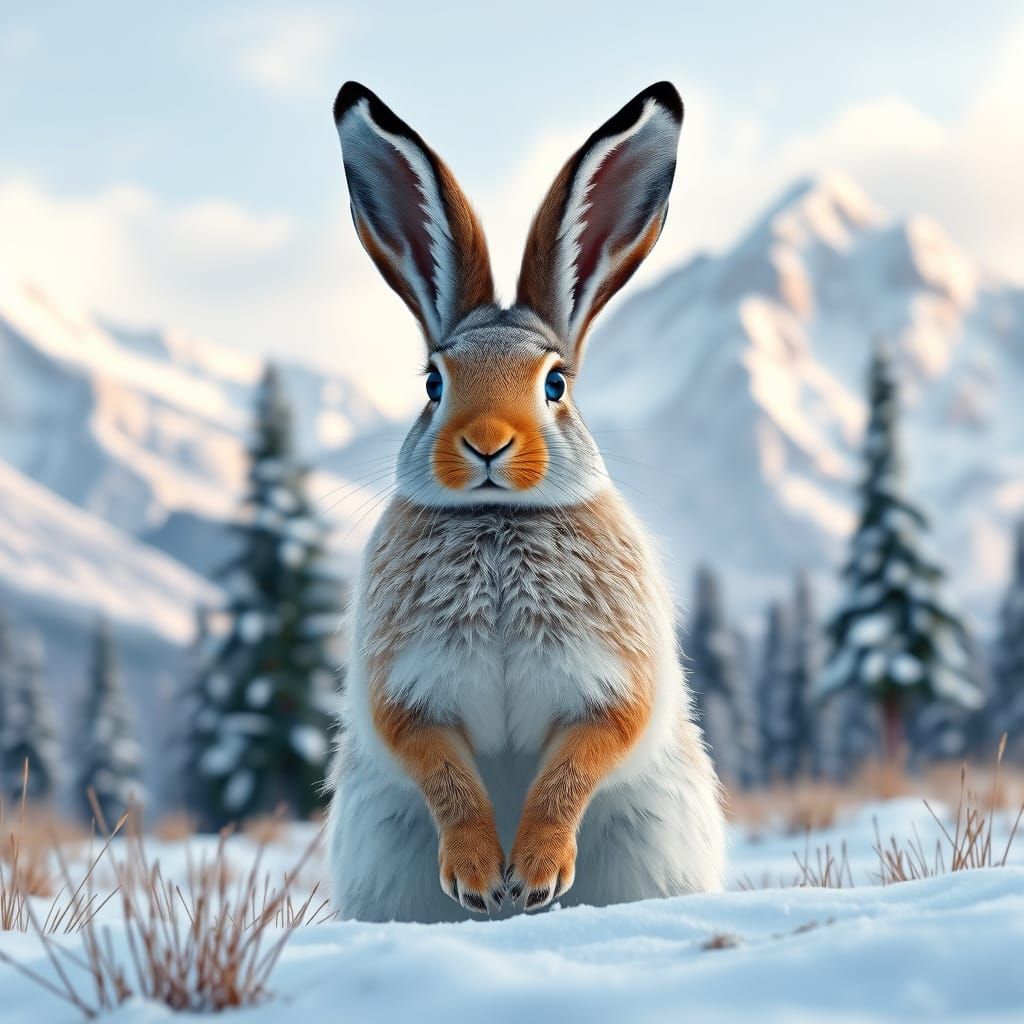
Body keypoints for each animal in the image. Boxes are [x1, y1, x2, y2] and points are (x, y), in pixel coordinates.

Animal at [326, 81, 726, 923]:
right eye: (433, 383)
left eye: (556, 384)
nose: (486, 443)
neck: (497, 521)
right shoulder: (407, 694)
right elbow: (444, 775)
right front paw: (481, 880)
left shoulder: (610, 686)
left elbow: (577, 765)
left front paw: (536, 875)